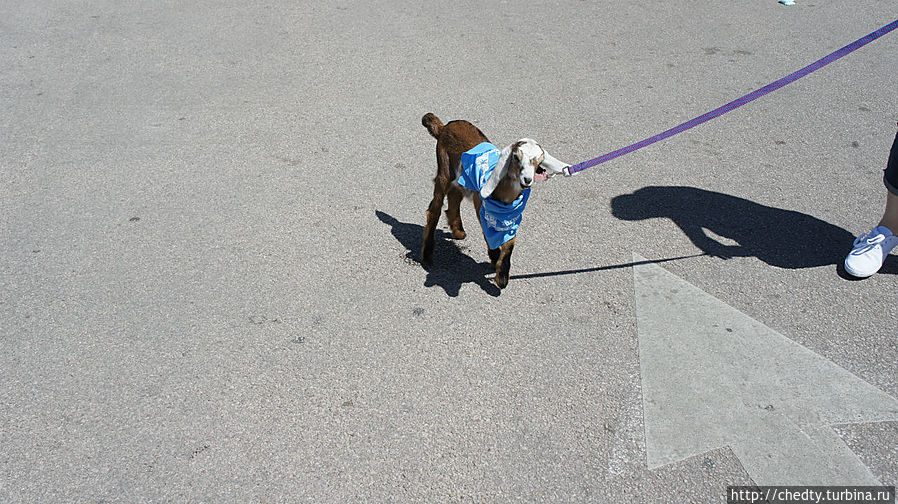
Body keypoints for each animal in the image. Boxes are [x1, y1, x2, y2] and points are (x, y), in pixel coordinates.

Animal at [420, 112, 568, 290]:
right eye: (516, 157)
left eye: (540, 159)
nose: (527, 180)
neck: (505, 195)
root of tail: (444, 127)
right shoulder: (482, 207)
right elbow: (488, 234)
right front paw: (495, 257)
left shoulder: (512, 216)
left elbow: (509, 243)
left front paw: (502, 276)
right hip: (444, 170)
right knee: (434, 208)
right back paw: (427, 255)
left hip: (460, 177)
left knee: (454, 197)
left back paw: (458, 232)